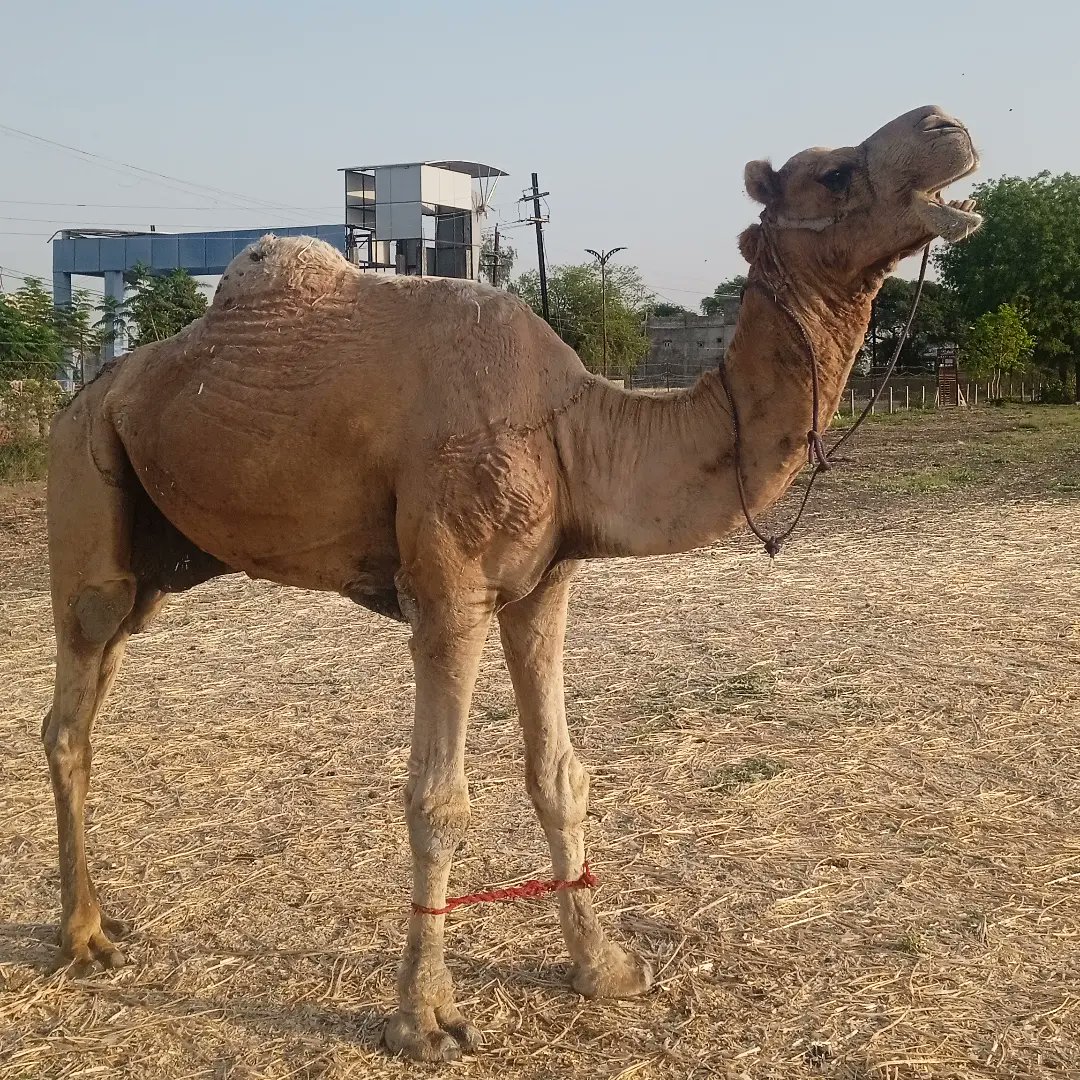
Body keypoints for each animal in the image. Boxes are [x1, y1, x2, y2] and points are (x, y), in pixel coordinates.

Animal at [41, 105, 980, 1061]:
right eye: (833, 173)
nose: (947, 125)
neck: (578, 428)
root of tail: (87, 391)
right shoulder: (449, 589)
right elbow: (437, 800)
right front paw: (424, 1018)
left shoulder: (544, 583)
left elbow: (559, 775)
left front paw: (605, 968)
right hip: (83, 472)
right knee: (70, 703)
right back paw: (84, 936)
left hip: (158, 557)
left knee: (101, 680)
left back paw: (99, 914)